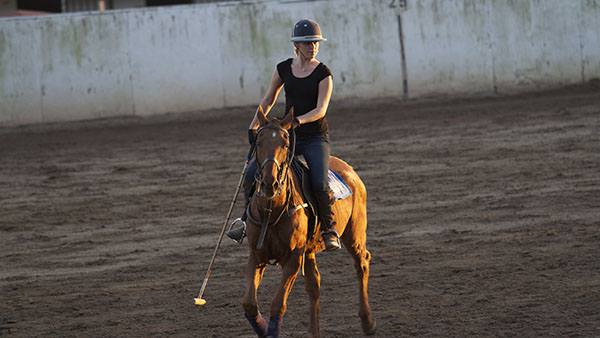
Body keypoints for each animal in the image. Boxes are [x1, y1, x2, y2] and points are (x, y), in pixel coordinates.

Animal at [240, 108, 376, 338]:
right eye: (258, 142)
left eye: (286, 144)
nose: (269, 183)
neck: (271, 211)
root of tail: (350, 170)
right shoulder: (256, 254)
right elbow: (249, 303)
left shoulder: (293, 257)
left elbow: (278, 304)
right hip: (310, 249)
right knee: (315, 285)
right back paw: (314, 331)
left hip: (355, 233)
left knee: (362, 263)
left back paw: (368, 323)